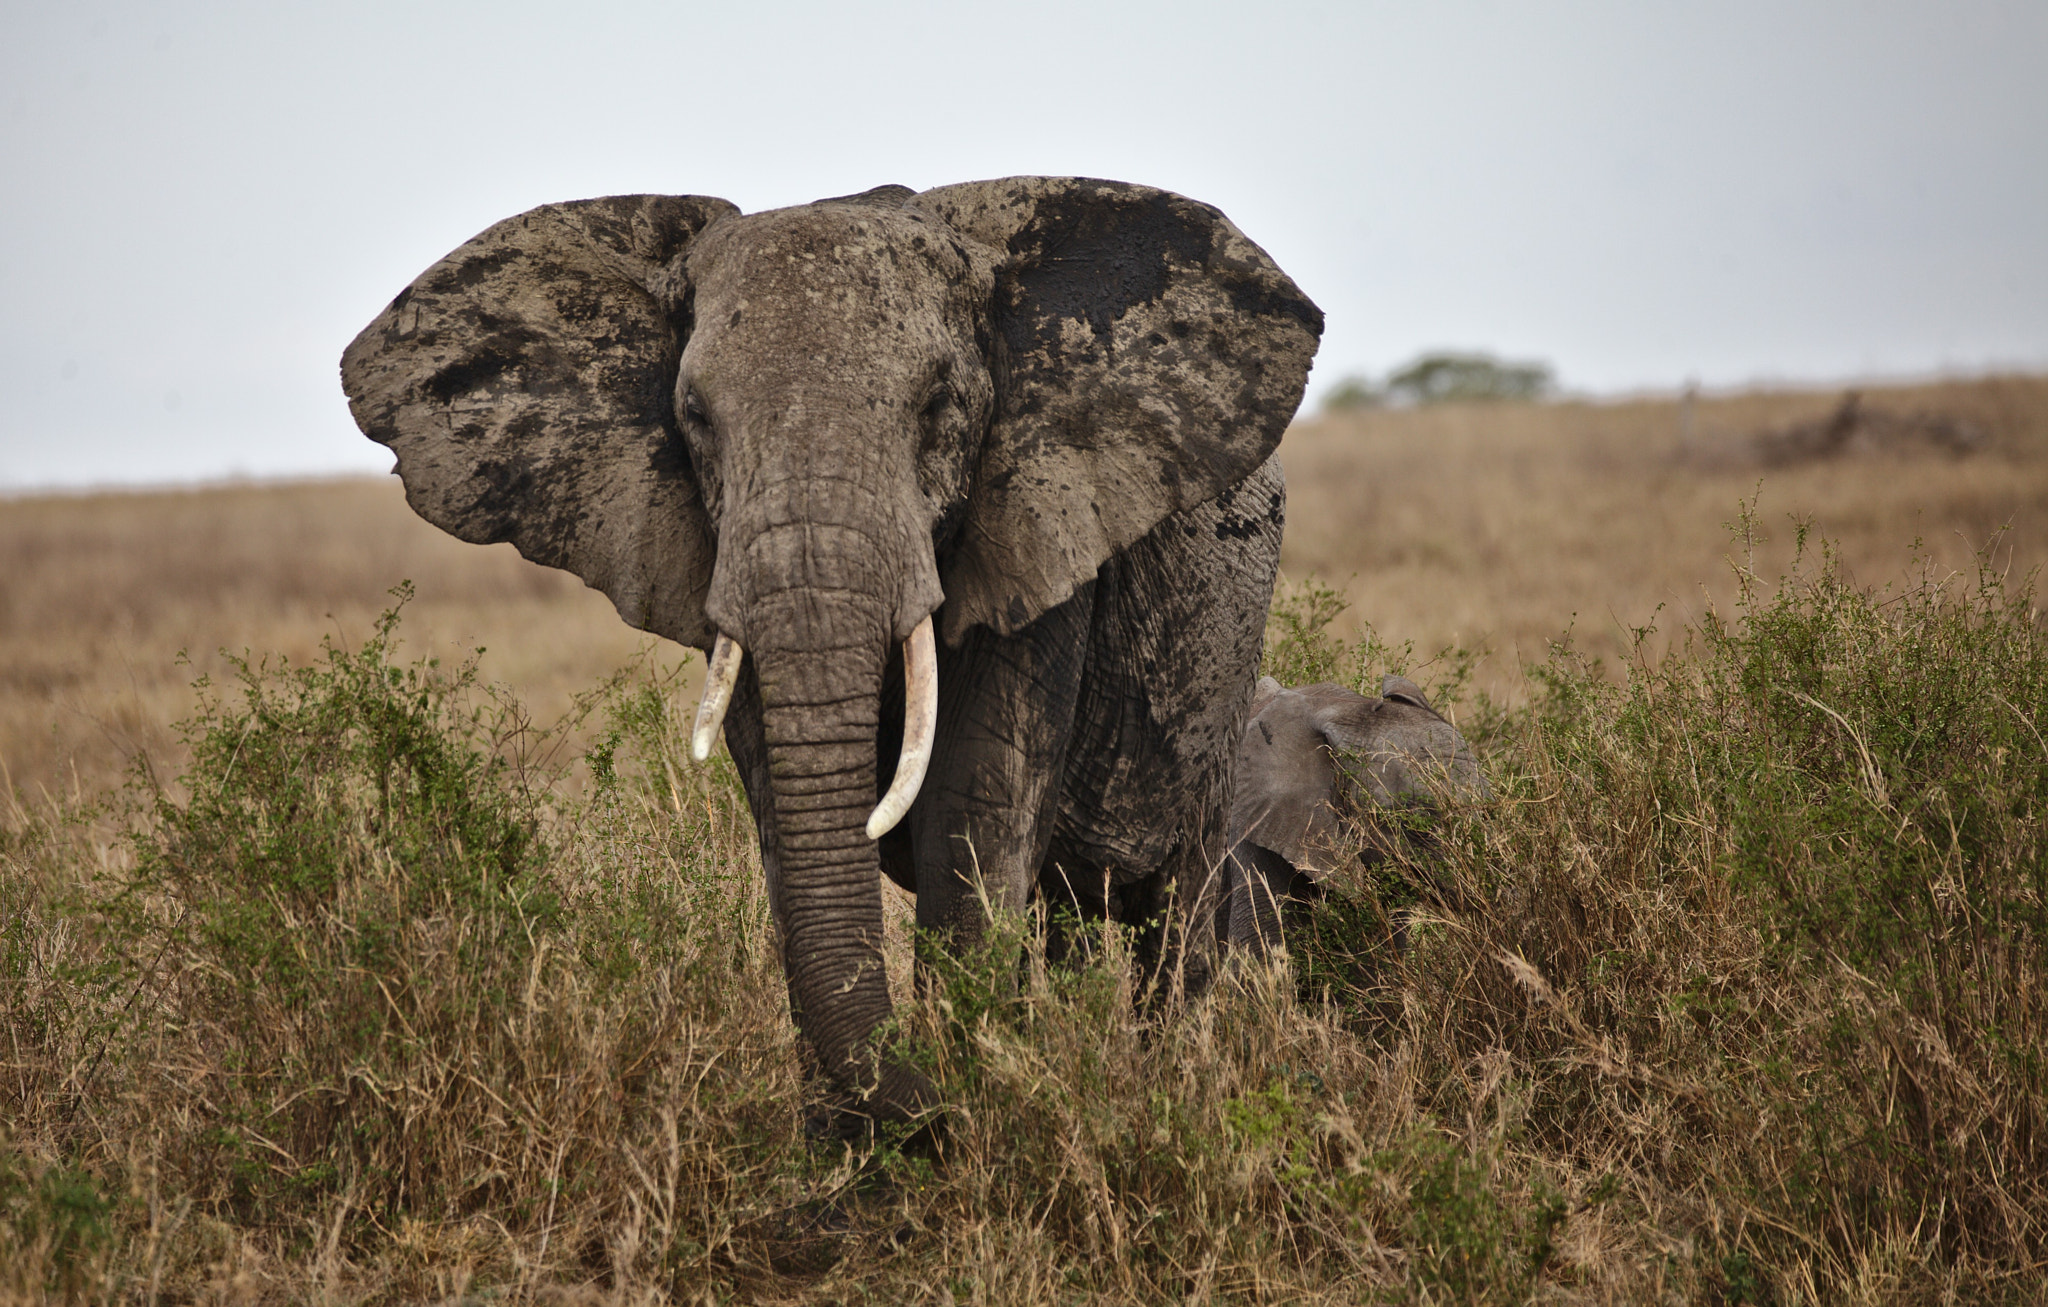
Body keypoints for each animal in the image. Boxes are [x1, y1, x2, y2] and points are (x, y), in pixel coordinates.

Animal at [340, 177, 1322, 1122]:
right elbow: (783, 806)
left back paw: (1165, 1078)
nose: (926, 1099)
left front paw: (973, 1113)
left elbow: (974, 803)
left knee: (1176, 907)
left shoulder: (1040, 528)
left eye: (939, 405)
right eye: (693, 414)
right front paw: (858, 1141)